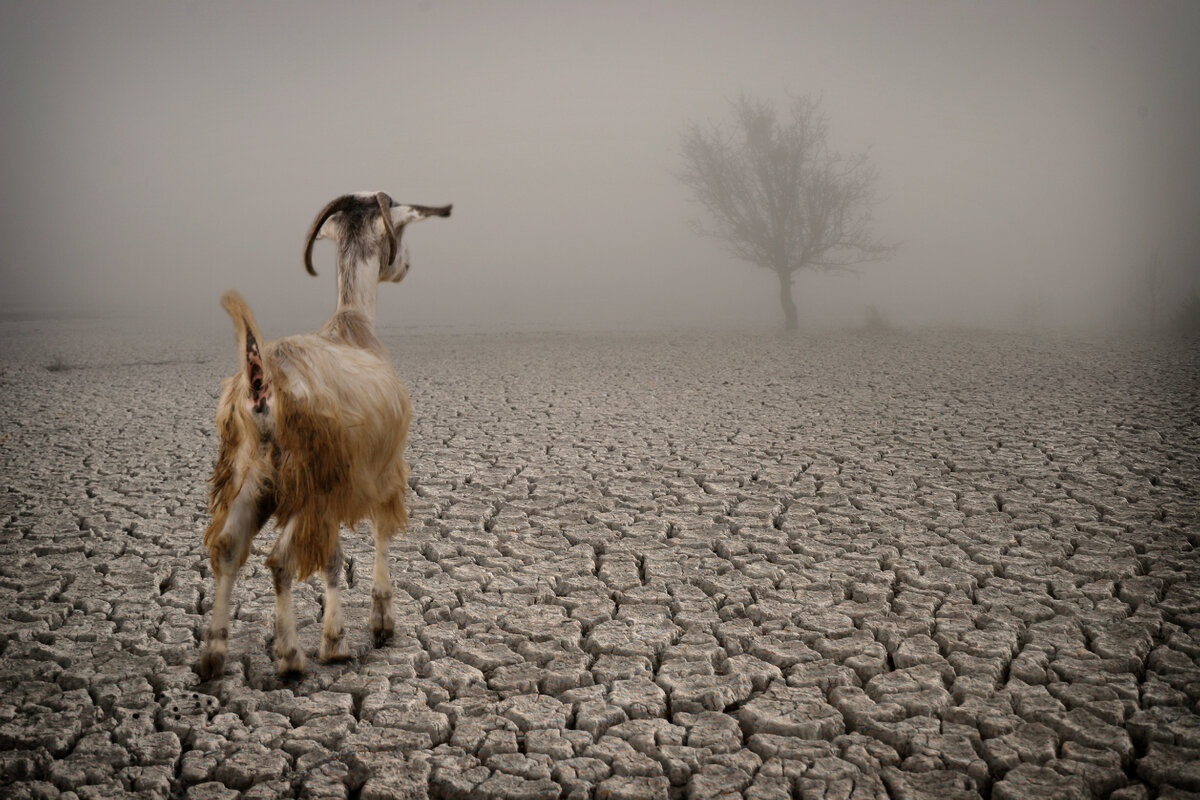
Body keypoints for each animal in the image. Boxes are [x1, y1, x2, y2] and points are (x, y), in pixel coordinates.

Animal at [196, 190, 451, 681]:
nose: (405, 264)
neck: (355, 325)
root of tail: (261, 381)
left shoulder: (339, 486)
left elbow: (332, 560)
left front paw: (337, 636)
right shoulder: (378, 471)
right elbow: (377, 535)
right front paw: (368, 627)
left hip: (249, 474)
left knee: (227, 548)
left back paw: (214, 654)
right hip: (307, 480)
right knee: (280, 560)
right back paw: (291, 656)